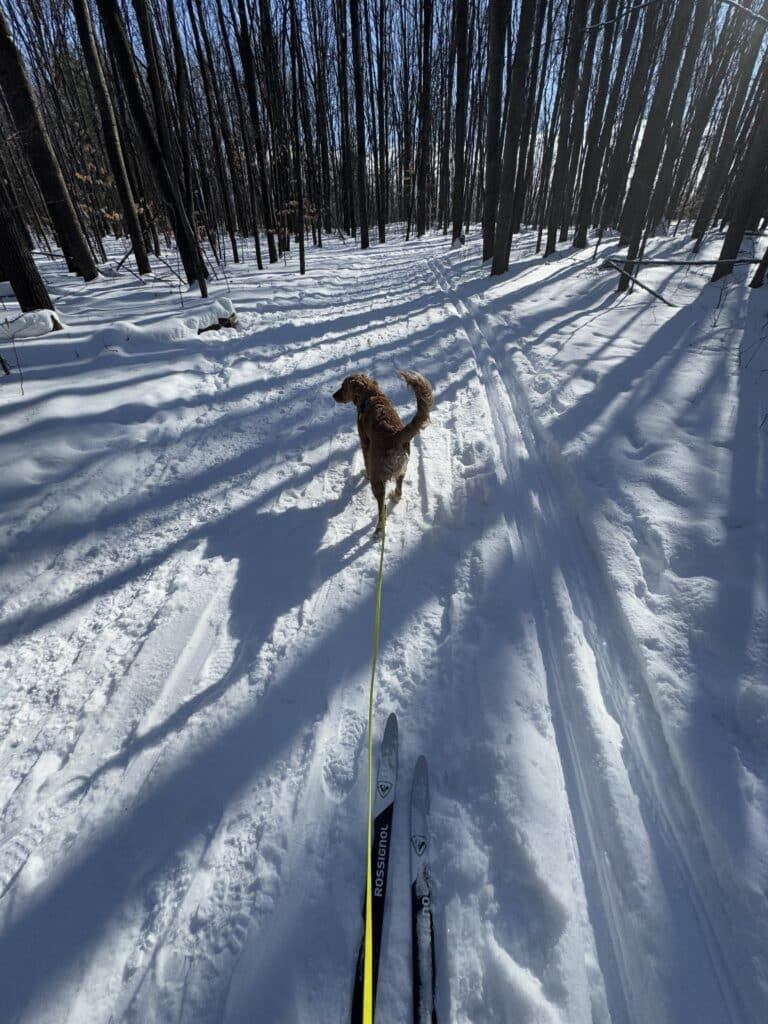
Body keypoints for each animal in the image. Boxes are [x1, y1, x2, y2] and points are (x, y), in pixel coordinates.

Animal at [335, 368, 436, 532]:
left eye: (343, 387)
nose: (333, 396)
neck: (371, 394)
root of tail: (395, 435)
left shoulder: (364, 441)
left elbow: (366, 463)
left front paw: (365, 474)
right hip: (402, 469)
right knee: (399, 490)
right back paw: (395, 496)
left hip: (378, 481)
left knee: (382, 509)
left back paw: (378, 529)